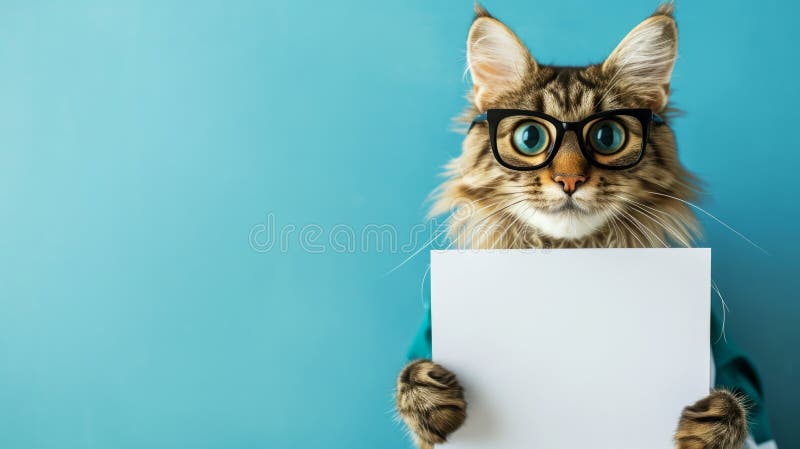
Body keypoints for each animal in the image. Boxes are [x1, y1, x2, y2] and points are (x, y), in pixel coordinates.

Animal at [396, 3, 752, 448]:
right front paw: (427, 392)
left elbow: (739, 403)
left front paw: (715, 421)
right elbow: (411, 377)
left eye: (607, 136)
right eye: (531, 137)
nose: (569, 180)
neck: (570, 252)